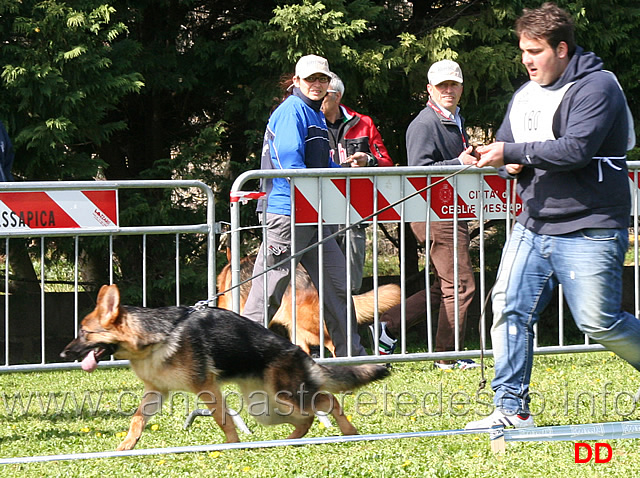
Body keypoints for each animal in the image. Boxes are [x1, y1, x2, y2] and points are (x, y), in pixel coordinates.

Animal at [60, 286, 390, 450]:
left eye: (84, 333)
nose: (64, 353)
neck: (154, 337)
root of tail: (296, 350)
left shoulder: (206, 388)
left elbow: (223, 420)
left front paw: (233, 446)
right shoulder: (155, 393)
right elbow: (137, 420)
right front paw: (126, 446)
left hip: (284, 397)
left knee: (324, 403)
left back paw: (342, 432)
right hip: (266, 408)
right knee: (312, 413)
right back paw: (299, 439)